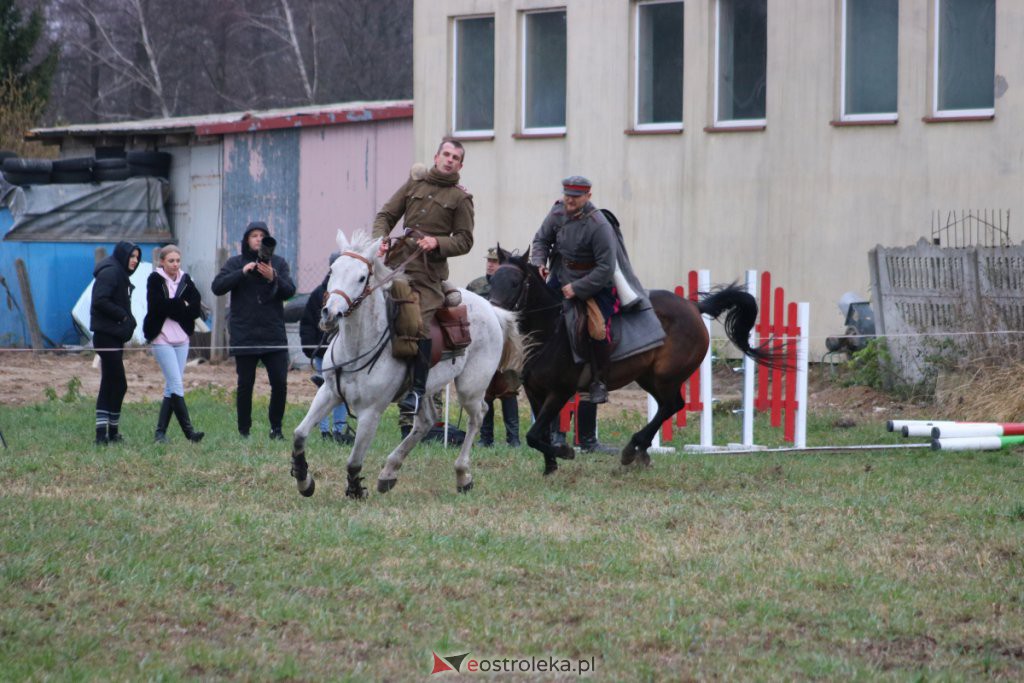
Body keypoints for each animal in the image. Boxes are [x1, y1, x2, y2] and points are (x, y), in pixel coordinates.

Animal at [290, 229, 524, 497]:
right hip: (425, 388)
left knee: (478, 416)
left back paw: (462, 474)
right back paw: (389, 471)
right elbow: (299, 434)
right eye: (332, 271)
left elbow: (354, 460)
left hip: (471, 388)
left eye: (361, 278)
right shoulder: (328, 393)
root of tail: (492, 309)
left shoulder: (371, 412)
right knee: (426, 422)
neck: (357, 344)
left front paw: (355, 489)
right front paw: (303, 480)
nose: (329, 314)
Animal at [487, 248, 782, 479]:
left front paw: (564, 451)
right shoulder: (535, 392)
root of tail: (692, 308)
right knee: (667, 406)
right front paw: (551, 466)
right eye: (492, 279)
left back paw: (633, 448)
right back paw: (640, 451)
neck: (550, 330)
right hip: (648, 377)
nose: (492, 310)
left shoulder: (560, 392)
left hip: (666, 376)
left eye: (515, 282)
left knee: (672, 405)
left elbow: (535, 434)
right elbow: (537, 435)